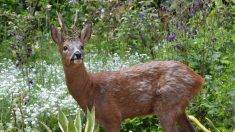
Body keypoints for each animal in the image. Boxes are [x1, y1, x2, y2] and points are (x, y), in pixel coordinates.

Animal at [51, 13, 204, 132]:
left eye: (82, 46)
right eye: (65, 47)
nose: (77, 54)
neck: (90, 90)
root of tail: (198, 79)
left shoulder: (112, 117)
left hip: (168, 103)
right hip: (179, 107)